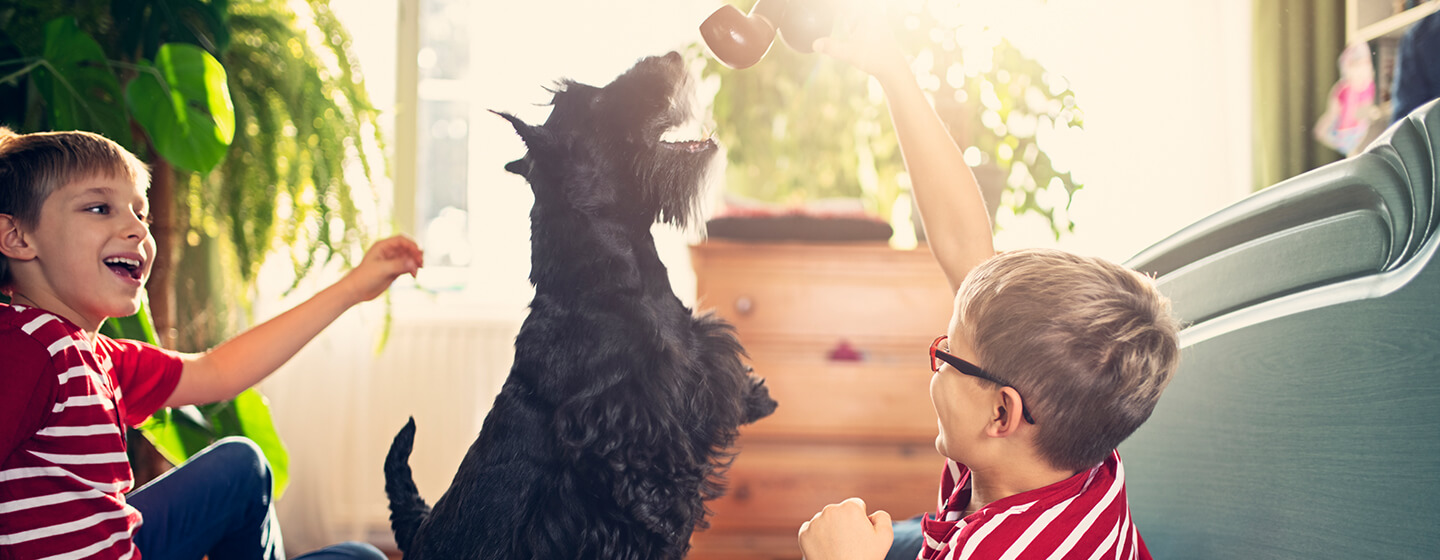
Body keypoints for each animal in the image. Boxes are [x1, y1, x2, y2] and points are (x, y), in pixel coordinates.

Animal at [383, 52, 777, 558]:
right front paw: (666, 511)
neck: (614, 279)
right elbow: (639, 467)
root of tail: (418, 534)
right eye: (592, 100)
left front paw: (754, 397)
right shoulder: (617, 415)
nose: (671, 57)